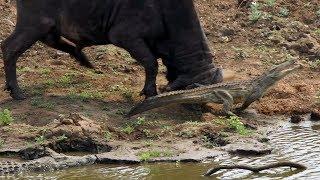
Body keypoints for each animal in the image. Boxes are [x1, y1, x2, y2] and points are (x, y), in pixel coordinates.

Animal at [0, 0, 222, 100]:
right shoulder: (126, 36)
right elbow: (151, 63)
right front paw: (150, 91)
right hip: (35, 24)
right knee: (9, 47)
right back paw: (16, 91)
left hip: (47, 27)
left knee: (57, 42)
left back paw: (85, 61)